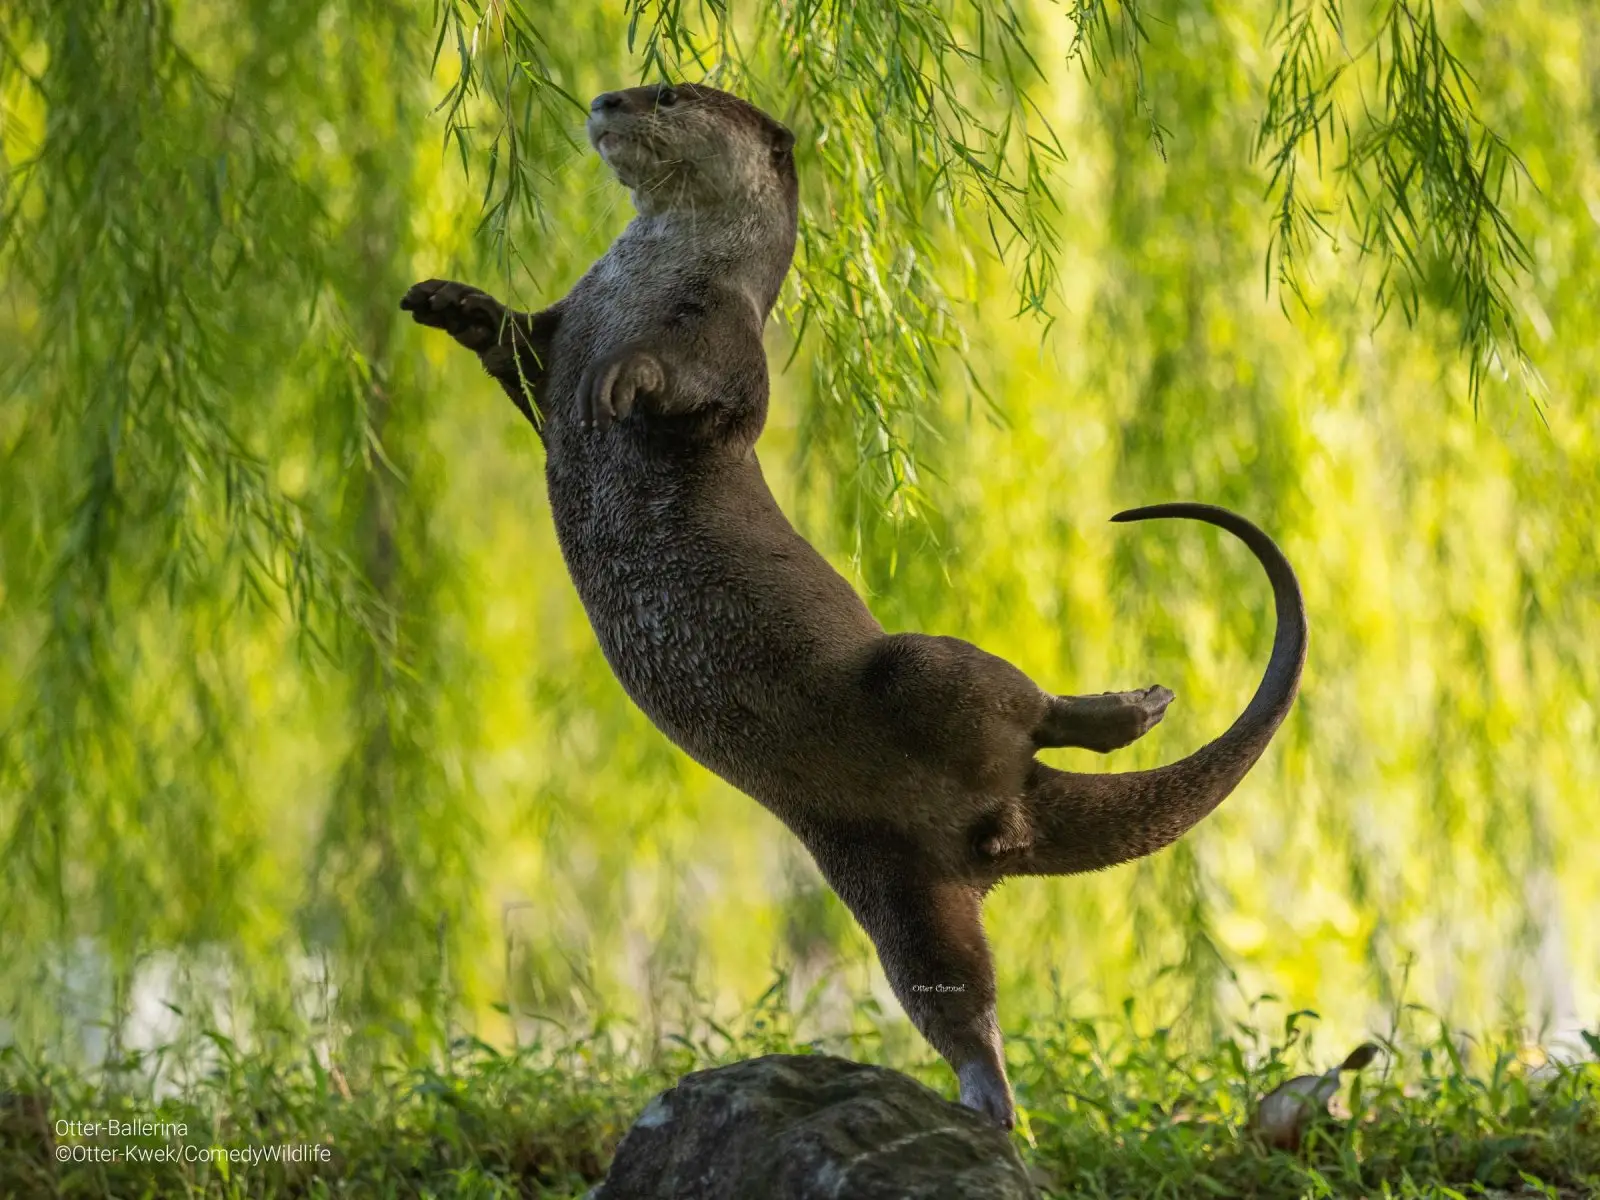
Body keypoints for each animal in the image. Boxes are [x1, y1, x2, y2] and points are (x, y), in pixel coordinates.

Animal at [401, 82, 1306, 1130]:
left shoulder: (723, 339)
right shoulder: (566, 322)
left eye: (670, 91)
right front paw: (451, 302)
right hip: (886, 879)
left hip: (916, 672)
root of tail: (1009, 813)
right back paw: (986, 1103)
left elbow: (692, 390)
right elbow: (515, 350)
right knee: (953, 990)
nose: (606, 99)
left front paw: (625, 376)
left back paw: (1130, 709)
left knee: (1020, 702)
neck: (643, 282)